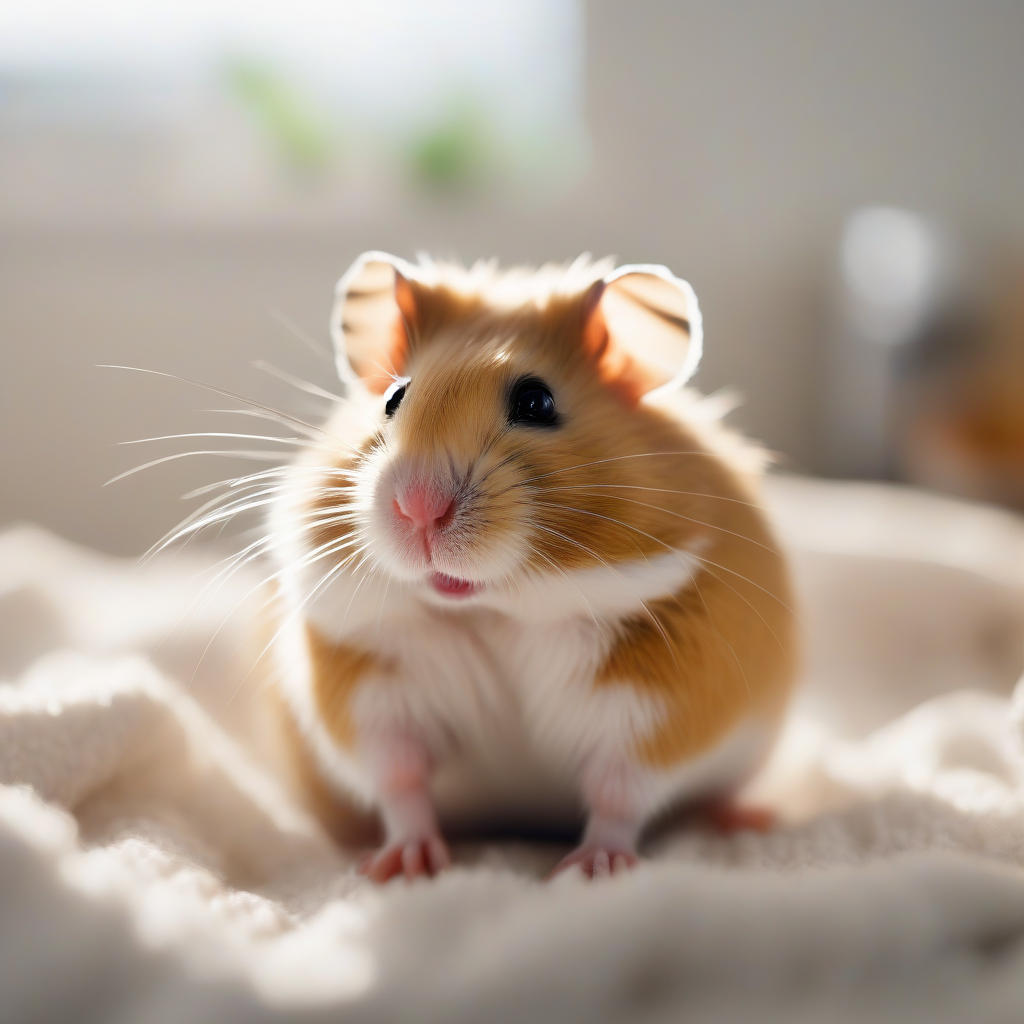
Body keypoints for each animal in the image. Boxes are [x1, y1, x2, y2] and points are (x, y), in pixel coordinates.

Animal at [268, 252, 798, 881]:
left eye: (536, 403)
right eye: (394, 398)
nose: (418, 507)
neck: (497, 611)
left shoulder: (656, 704)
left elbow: (620, 793)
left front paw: (592, 870)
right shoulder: (372, 692)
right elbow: (401, 783)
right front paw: (403, 866)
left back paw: (749, 819)